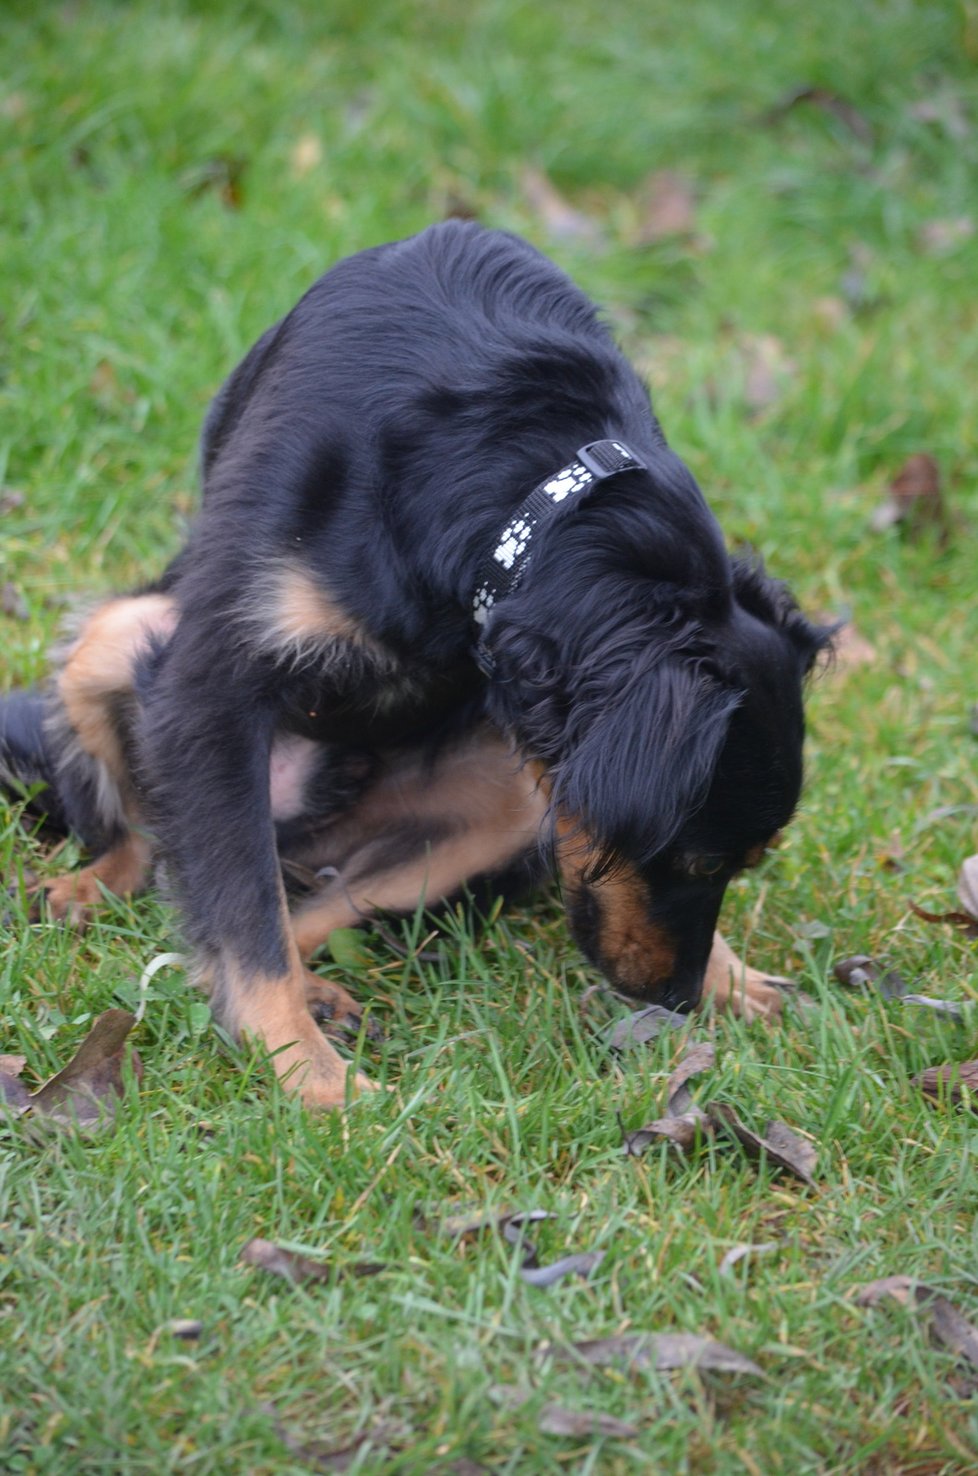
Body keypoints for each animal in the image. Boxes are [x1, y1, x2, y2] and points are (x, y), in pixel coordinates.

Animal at [0, 221, 831, 1109]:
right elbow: (247, 923)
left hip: (499, 801)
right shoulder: (210, 688)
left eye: (740, 864)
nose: (673, 998)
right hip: (122, 634)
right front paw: (311, 1077)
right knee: (155, 847)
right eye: (699, 861)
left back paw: (321, 990)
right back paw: (89, 891)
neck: (537, 495)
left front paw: (733, 976)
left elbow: (267, 920)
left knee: (308, 903)